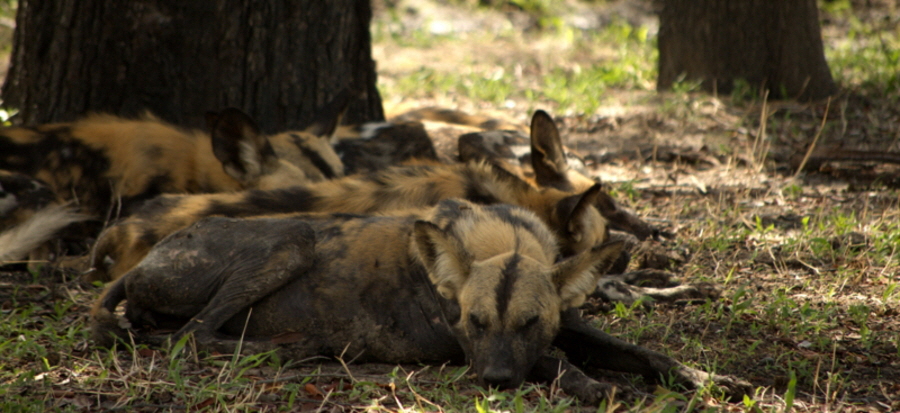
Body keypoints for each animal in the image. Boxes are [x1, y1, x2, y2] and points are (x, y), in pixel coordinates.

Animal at [91, 200, 752, 402]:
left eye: (529, 321)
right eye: (474, 322)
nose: (495, 383)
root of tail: (145, 257)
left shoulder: (568, 323)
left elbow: (648, 354)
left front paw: (712, 378)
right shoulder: (463, 347)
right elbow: (559, 362)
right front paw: (593, 386)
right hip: (292, 237)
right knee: (192, 335)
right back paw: (299, 349)